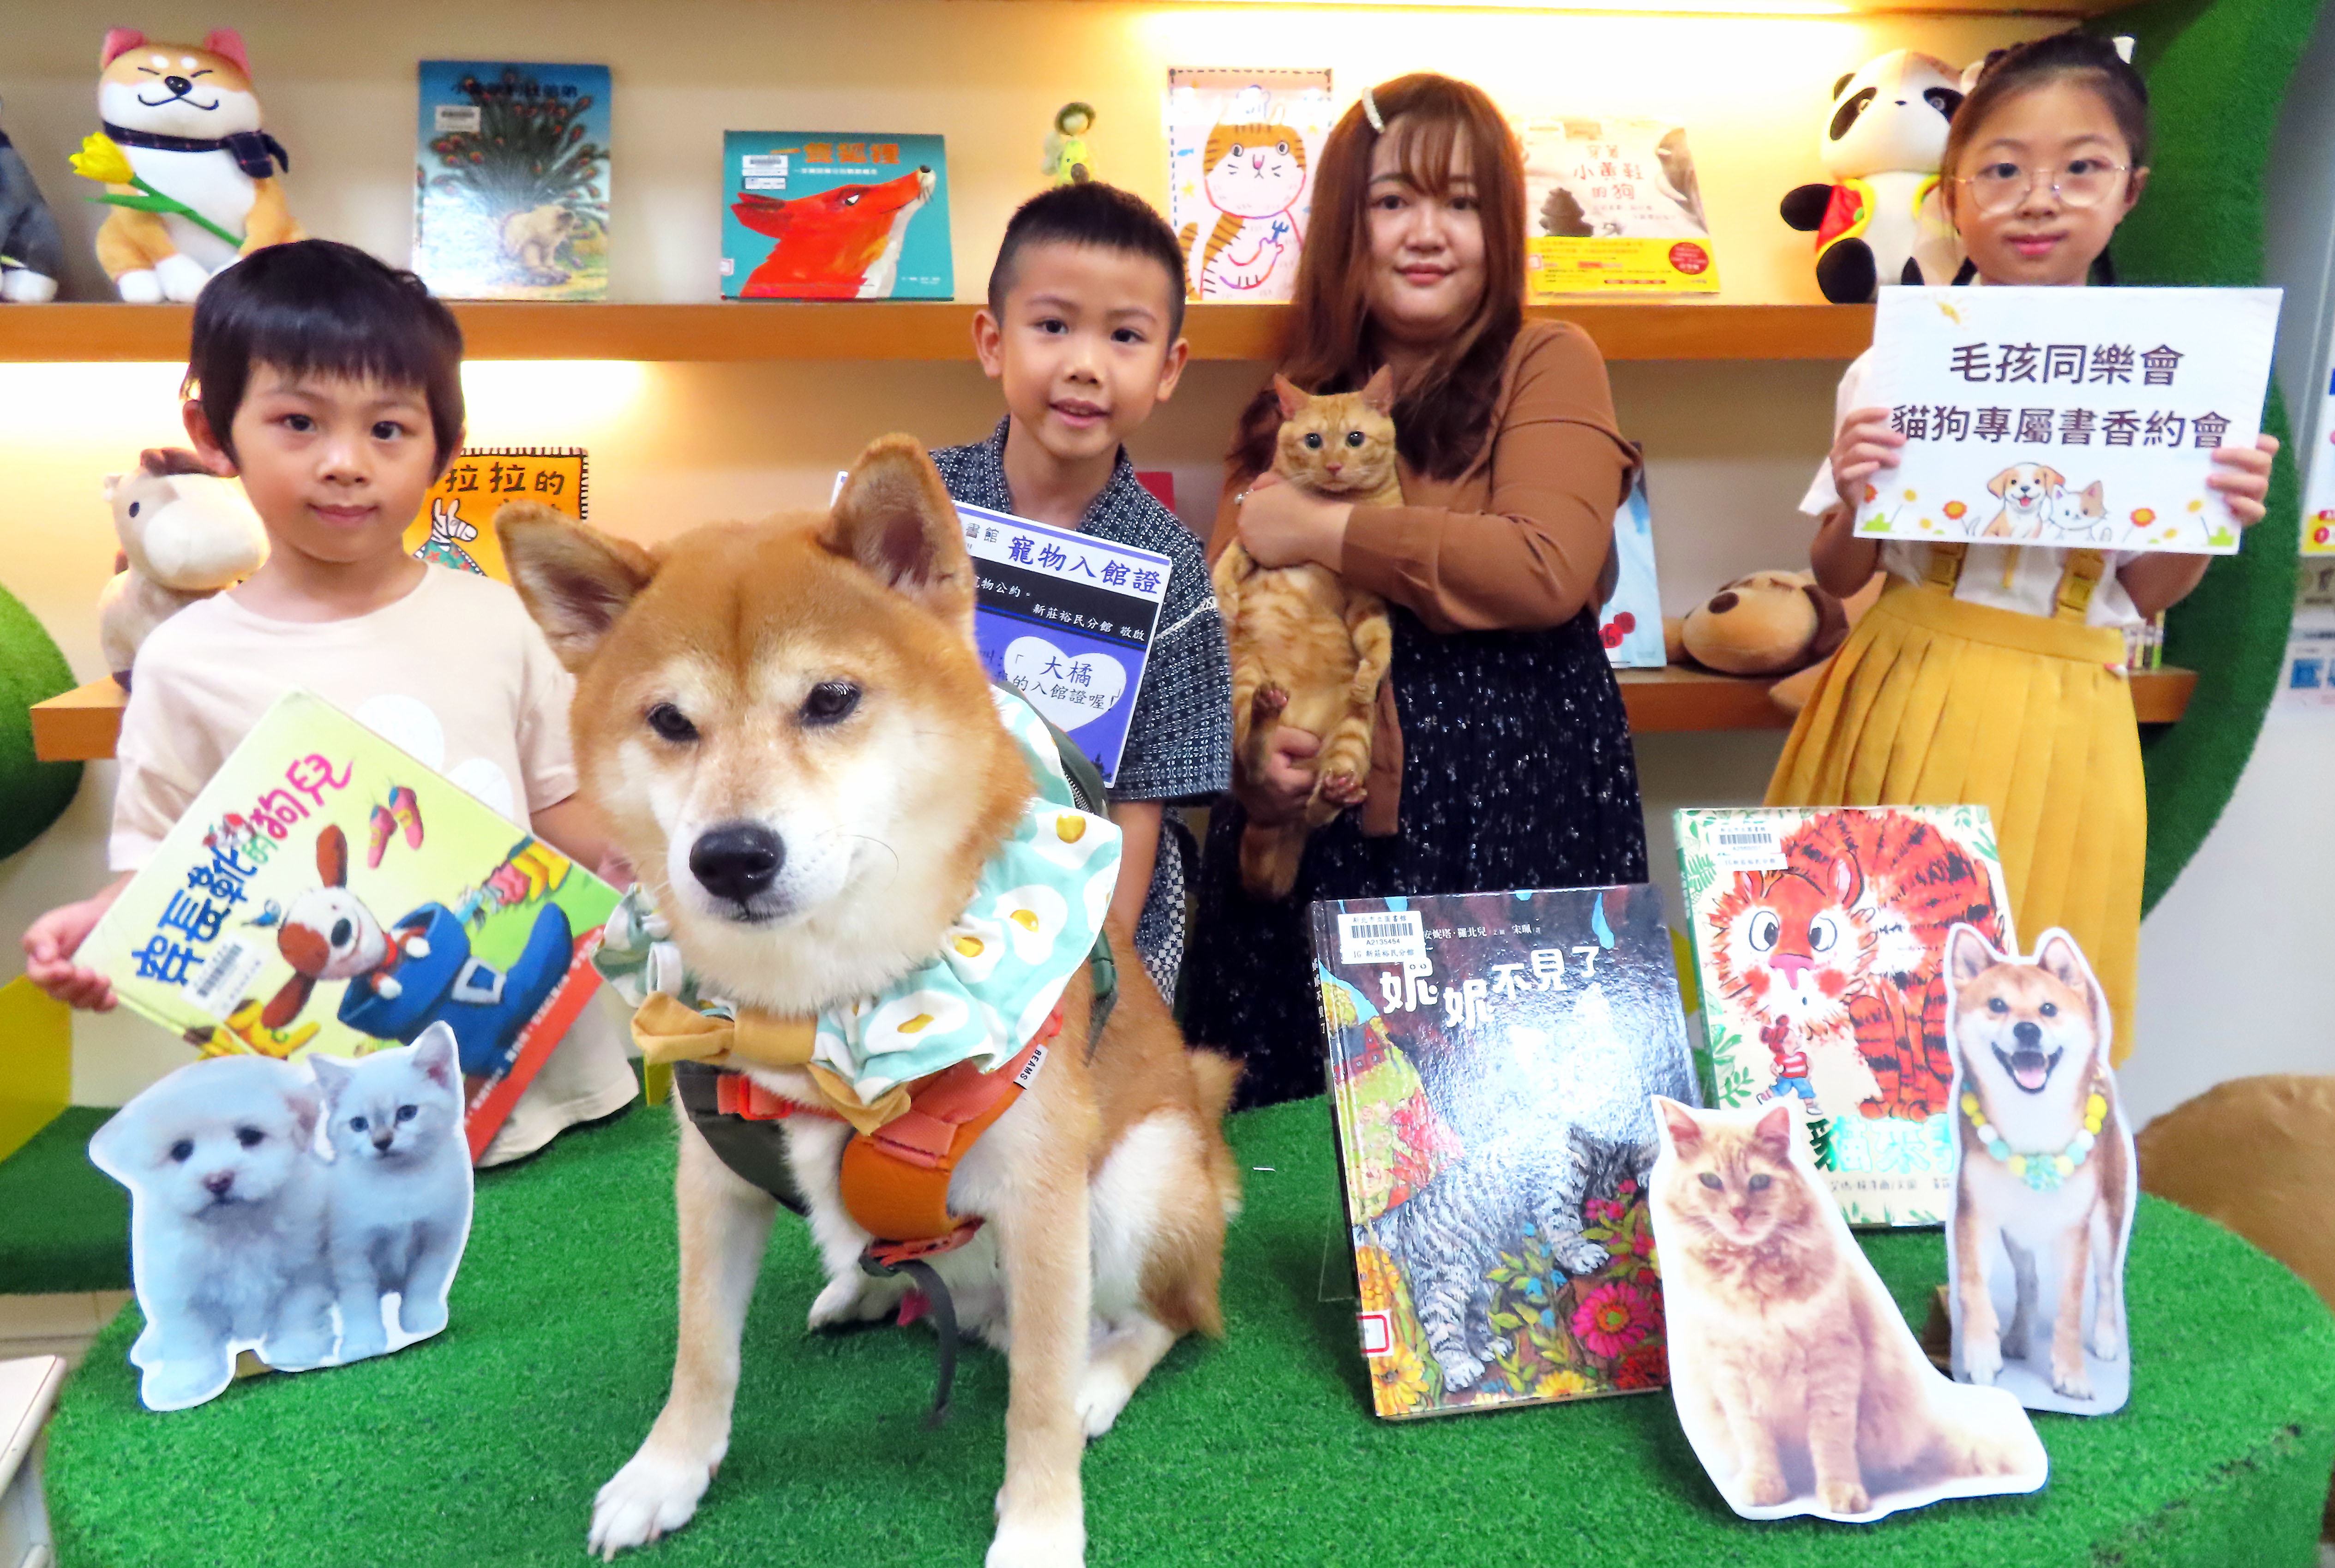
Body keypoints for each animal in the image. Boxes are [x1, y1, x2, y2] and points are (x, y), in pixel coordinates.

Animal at [93, 27, 303, 303]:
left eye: (202, 73)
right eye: (148, 70)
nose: (177, 81)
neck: (186, 145)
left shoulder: (265, 193)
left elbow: (265, 223)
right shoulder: (131, 200)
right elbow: (155, 242)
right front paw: (186, 281)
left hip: (294, 231)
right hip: (111, 236)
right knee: (125, 260)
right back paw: (142, 286)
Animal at [499, 431, 1242, 1568]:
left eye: (830, 700)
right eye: (669, 721)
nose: (731, 856)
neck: (816, 1005)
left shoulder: (1041, 1193)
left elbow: (1032, 1402)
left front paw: (1039, 1528)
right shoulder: (709, 1177)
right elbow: (701, 1350)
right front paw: (665, 1473)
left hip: (1140, 1180)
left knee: (1163, 1319)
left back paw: (1096, 1380)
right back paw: (867, 1285)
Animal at [1214, 368, 1392, 900]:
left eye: (1355, 439)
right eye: (1313, 441)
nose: (1332, 465)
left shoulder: (1365, 596)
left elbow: (1377, 638)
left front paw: (1371, 672)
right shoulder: (1248, 538)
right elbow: (1229, 560)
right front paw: (1224, 595)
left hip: (1354, 736)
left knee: (1316, 813)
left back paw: (1333, 790)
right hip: (1244, 678)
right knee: (1252, 756)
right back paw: (1269, 712)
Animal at [1644, 1101, 2045, 1521]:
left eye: (1758, 1182)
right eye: (1710, 1181)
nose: (1739, 1213)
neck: (1755, 1283)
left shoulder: (1832, 1365)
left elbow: (1830, 1442)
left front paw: (1841, 1495)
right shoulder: (1732, 1374)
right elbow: (1755, 1441)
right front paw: (1765, 1488)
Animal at [1933, 924, 2139, 1418]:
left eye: (2048, 1009)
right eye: (1997, 1005)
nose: (2027, 1029)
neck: (2031, 1129)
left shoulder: (2074, 1233)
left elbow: (2069, 1308)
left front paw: (2071, 1377)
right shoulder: (1973, 1215)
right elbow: (1972, 1288)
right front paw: (1980, 1357)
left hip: (2107, 1220)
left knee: (2107, 1283)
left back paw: (2106, 1340)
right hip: (2017, 1236)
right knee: (2027, 1285)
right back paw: (2016, 1338)